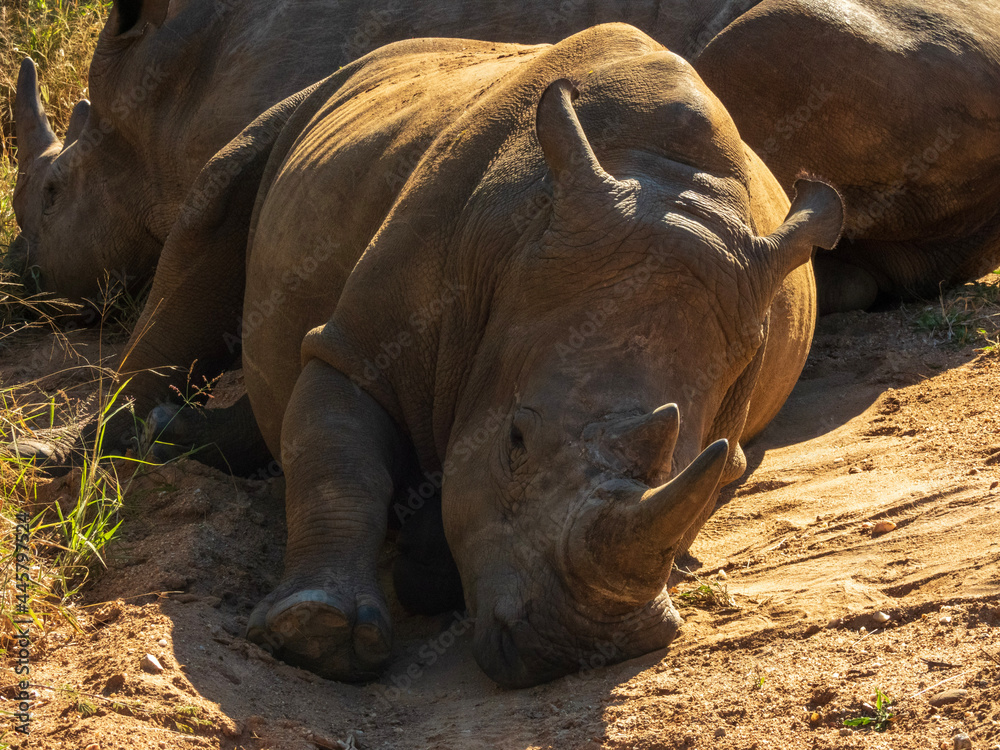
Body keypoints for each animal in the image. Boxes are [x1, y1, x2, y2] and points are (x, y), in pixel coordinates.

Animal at [119, 24, 843, 686]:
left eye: (710, 475)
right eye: (515, 441)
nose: (577, 648)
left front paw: (420, 559)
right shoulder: (360, 350)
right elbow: (339, 461)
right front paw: (318, 635)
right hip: (299, 107)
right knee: (208, 236)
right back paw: (119, 448)